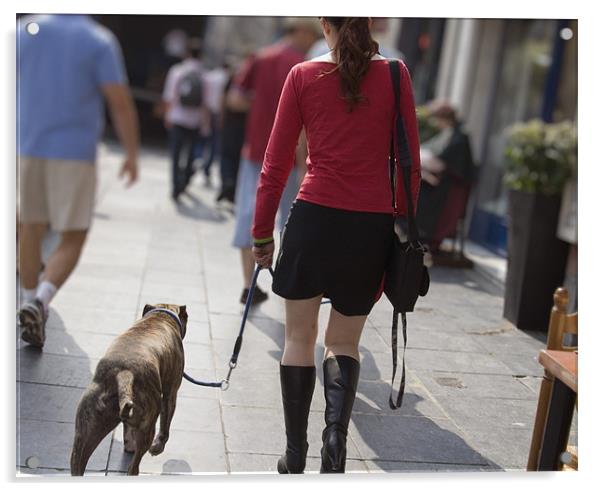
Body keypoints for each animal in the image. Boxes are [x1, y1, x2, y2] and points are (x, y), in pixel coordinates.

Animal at [69, 304, 185, 476]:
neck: (160, 315)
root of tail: (123, 373)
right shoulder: (170, 393)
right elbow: (165, 424)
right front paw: (158, 447)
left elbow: (128, 431)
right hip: (148, 426)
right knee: (133, 467)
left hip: (84, 433)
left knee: (77, 463)